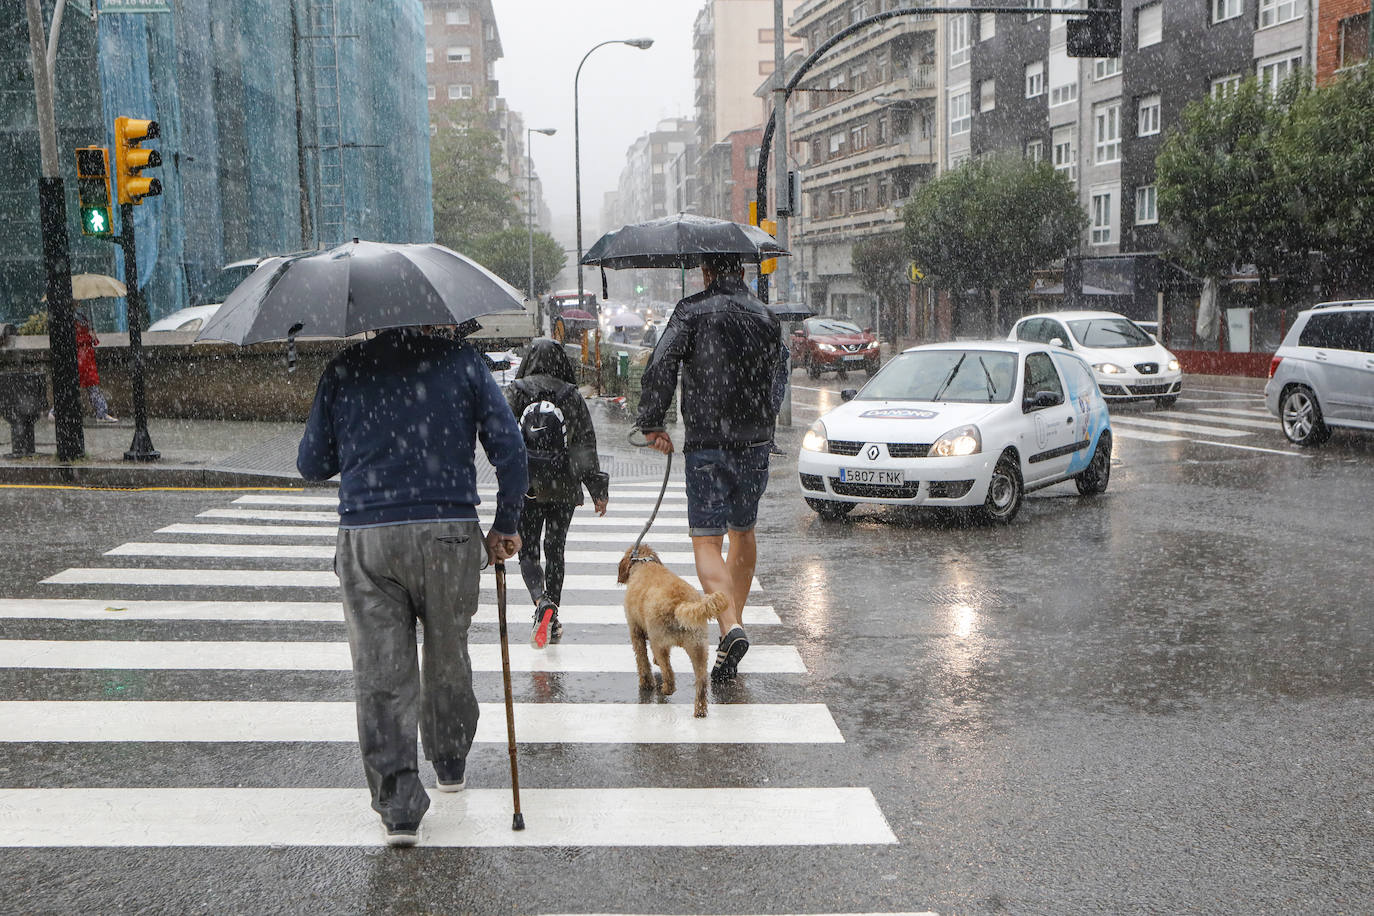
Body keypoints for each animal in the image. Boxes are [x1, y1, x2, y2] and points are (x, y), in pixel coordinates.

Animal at [621, 543, 730, 714]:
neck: (644, 564)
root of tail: (679, 604)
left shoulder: (635, 629)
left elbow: (642, 659)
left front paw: (646, 683)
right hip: (698, 646)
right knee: (701, 682)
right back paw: (700, 711)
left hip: (660, 641)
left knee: (669, 673)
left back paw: (665, 689)